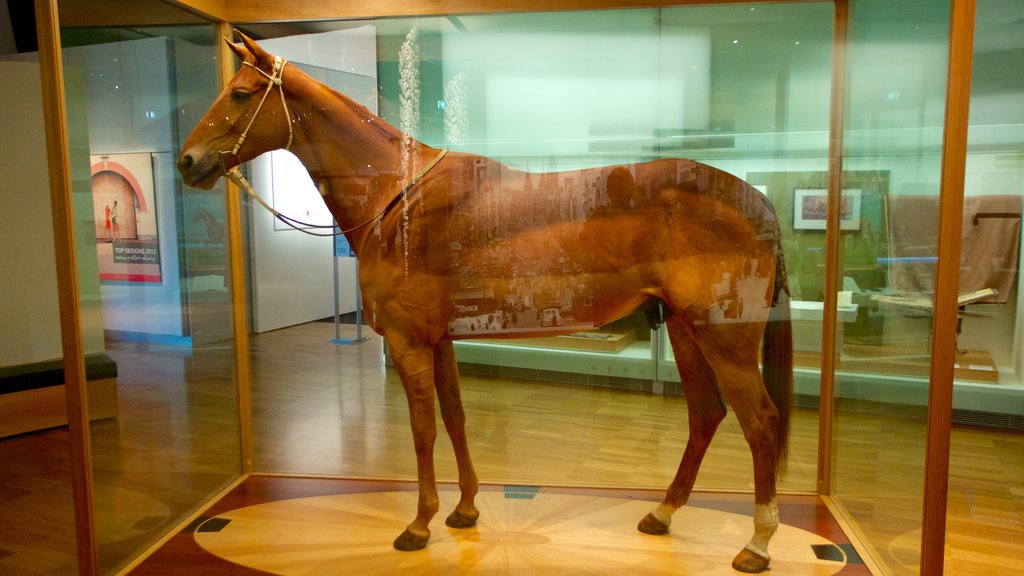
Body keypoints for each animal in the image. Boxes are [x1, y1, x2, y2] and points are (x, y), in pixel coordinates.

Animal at [180, 33, 794, 569]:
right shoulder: (440, 340)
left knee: (761, 423)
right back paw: (662, 514)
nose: (187, 161)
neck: (398, 200)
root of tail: (754, 201)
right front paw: (466, 509)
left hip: (725, 338)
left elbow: (422, 429)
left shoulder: (408, 342)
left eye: (241, 93)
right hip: (687, 330)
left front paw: (419, 523)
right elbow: (454, 418)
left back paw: (758, 544)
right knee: (706, 414)